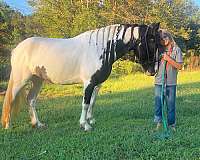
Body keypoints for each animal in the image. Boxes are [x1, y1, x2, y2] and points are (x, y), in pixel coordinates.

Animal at [0, 23, 160, 131]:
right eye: (151, 41)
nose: (152, 71)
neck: (100, 48)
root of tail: (17, 49)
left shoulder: (97, 84)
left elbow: (93, 102)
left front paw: (91, 120)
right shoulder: (88, 83)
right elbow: (85, 103)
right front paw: (85, 125)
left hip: (37, 80)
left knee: (31, 100)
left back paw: (38, 124)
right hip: (21, 80)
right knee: (11, 99)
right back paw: (8, 125)